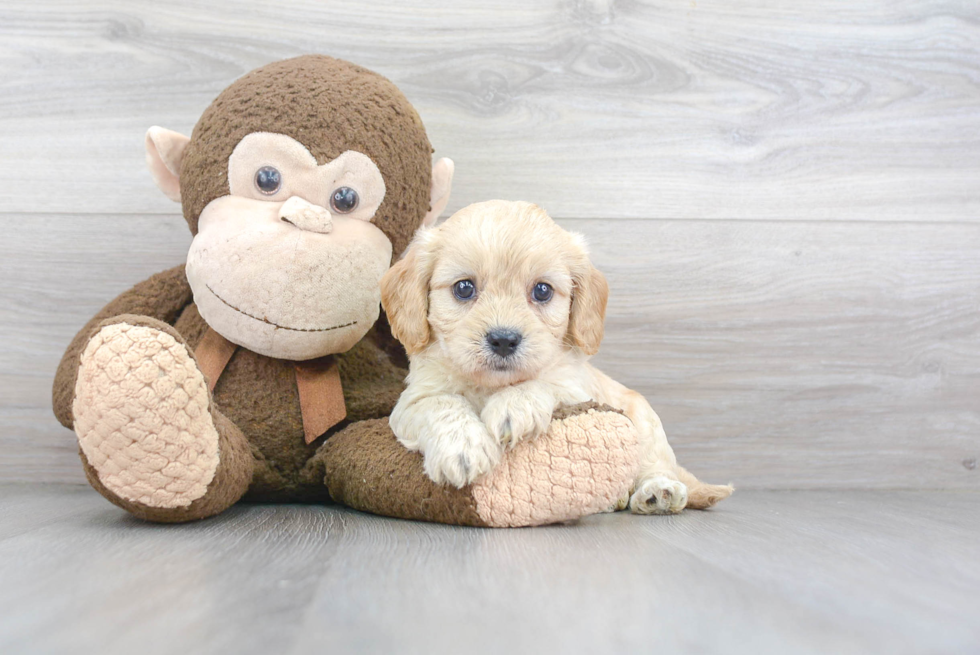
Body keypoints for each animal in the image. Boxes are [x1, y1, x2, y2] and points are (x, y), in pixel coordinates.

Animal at [378, 202, 732, 516]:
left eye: (543, 291)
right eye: (464, 288)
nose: (503, 340)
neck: (491, 385)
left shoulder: (577, 389)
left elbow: (545, 382)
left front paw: (513, 407)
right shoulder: (412, 401)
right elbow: (443, 404)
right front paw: (464, 448)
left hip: (645, 423)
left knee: (656, 465)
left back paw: (657, 492)